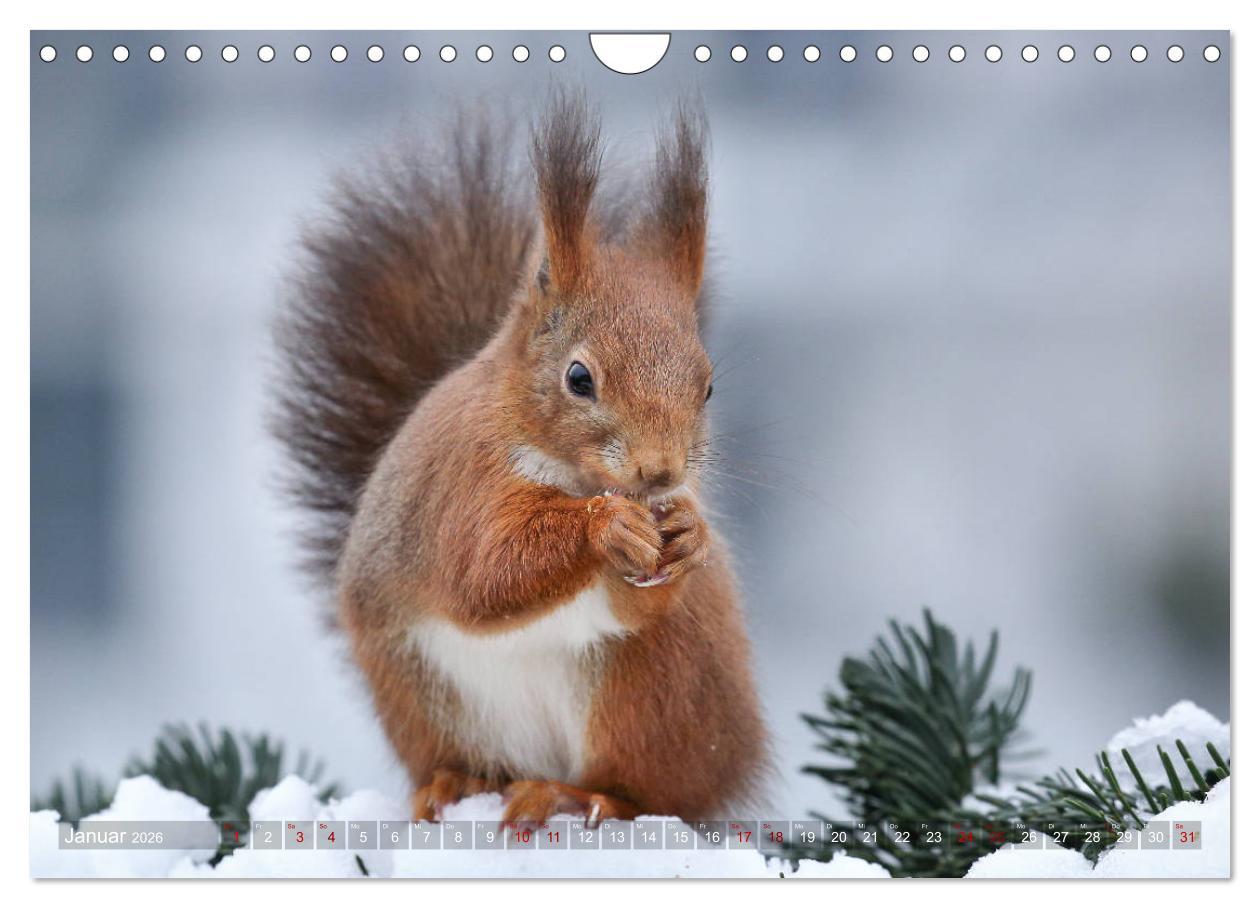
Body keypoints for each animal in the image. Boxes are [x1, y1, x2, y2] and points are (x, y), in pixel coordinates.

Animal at [275, 93, 768, 825]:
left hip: (648, 689)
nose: (661, 474)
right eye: (578, 378)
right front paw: (605, 527)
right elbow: (484, 570)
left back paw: (577, 794)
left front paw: (689, 533)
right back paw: (462, 784)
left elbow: (634, 606)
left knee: (650, 793)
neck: (574, 476)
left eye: (707, 386)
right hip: (425, 696)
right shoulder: (461, 482)